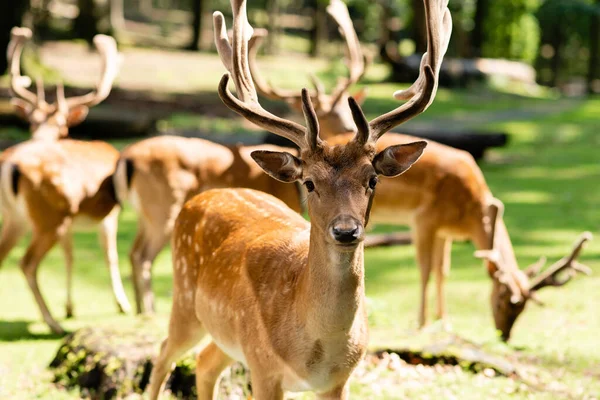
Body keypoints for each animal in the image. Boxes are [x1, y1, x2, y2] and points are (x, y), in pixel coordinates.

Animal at [0, 26, 131, 334]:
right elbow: (110, 255)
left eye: (59, 123)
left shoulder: (72, 221)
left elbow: (70, 256)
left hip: (18, 217)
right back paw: (53, 323)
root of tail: (11, 164)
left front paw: (71, 307)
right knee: (26, 263)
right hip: (49, 217)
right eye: (31, 122)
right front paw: (123, 305)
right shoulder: (110, 213)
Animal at [113, 136, 304, 314]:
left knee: (134, 252)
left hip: (145, 216)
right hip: (163, 209)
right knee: (144, 256)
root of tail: (126, 156)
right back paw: (150, 310)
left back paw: (136, 309)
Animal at [146, 0, 450, 396]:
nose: (346, 230)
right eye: (308, 183)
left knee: (205, 361)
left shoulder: (339, 381)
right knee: (164, 353)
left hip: (226, 335)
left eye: (372, 179)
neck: (316, 348)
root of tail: (205, 196)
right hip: (185, 301)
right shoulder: (264, 368)